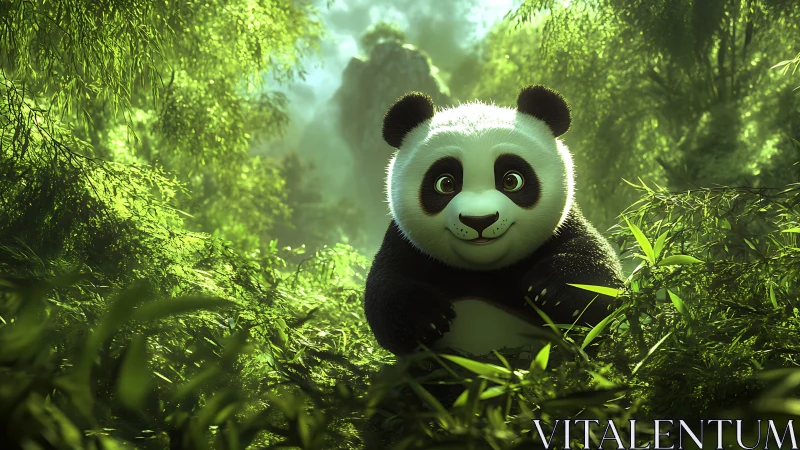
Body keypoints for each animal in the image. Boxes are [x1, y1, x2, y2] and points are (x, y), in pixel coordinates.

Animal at [363, 85, 623, 357]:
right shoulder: (405, 242)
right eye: (445, 184)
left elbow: (595, 269)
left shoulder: (563, 225)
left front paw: (557, 292)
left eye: (511, 180)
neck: (485, 270)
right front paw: (425, 317)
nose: (479, 220)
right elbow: (385, 289)